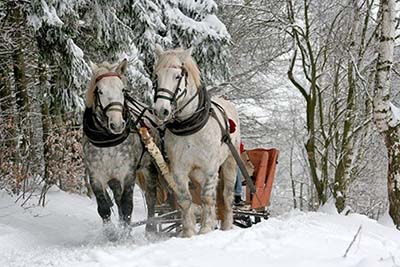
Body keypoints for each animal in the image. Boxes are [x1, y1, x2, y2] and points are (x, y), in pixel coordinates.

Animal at [152, 45, 241, 238]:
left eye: (177, 76)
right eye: (156, 76)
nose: (161, 110)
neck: (189, 126)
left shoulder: (210, 168)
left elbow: (208, 198)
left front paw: (206, 229)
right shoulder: (179, 170)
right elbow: (186, 200)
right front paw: (189, 232)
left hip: (230, 162)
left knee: (226, 195)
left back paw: (226, 226)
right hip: (197, 174)